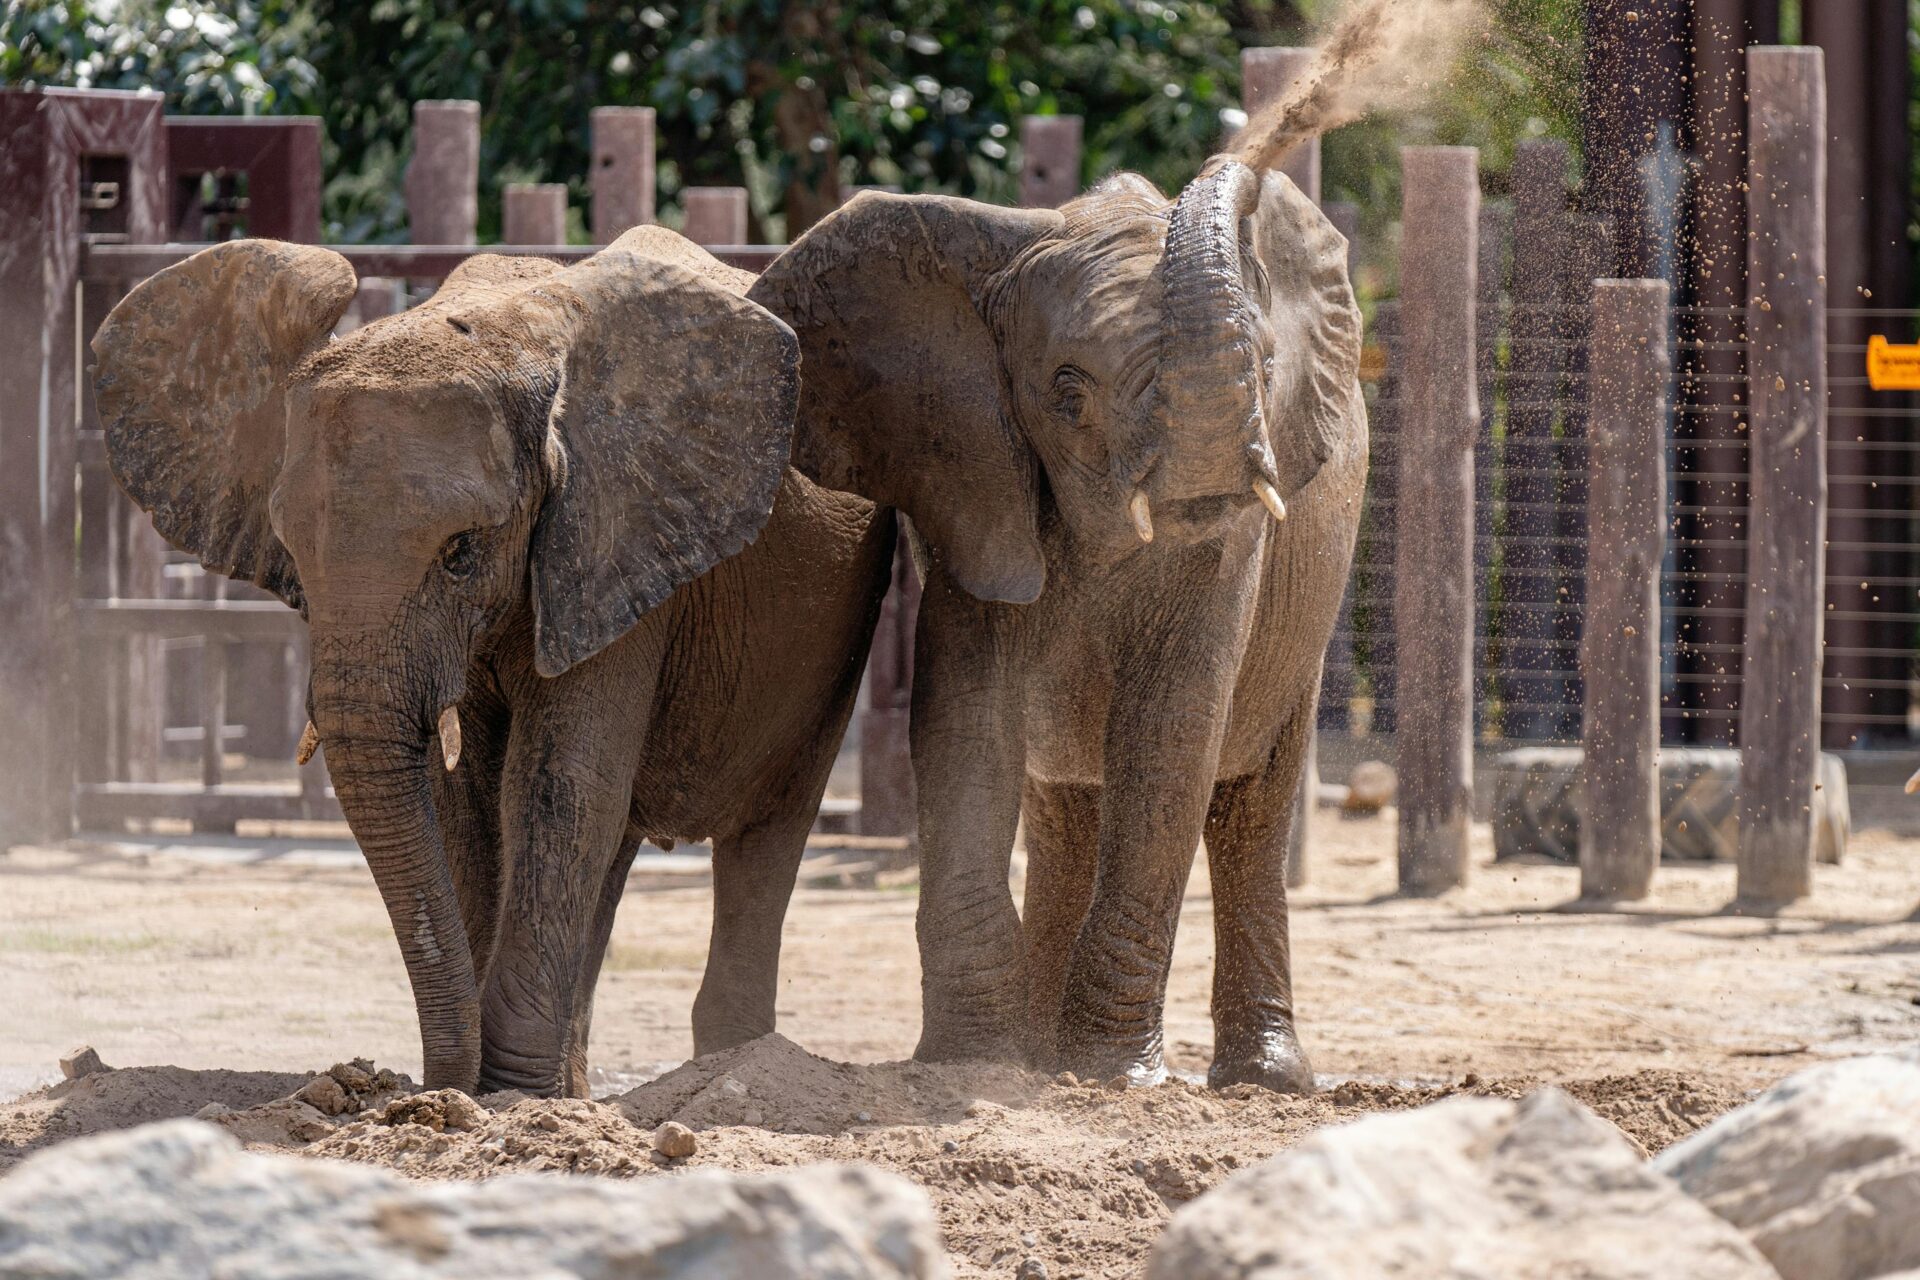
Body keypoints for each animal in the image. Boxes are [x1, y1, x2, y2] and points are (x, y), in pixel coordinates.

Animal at [91, 230, 898, 1105]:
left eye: (461, 552)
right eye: (292, 553)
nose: (420, 1090)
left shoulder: (610, 544)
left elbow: (555, 787)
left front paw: (506, 1093)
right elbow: (469, 800)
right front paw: (494, 1092)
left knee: (765, 827)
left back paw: (720, 1064)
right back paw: (576, 1090)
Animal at [748, 155, 1367, 1097]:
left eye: (1266, 367)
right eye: (1068, 392)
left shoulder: (1243, 535)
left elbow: (1172, 730)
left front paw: (1109, 1075)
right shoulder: (967, 471)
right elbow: (967, 715)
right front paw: (972, 1061)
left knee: (1252, 804)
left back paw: (1263, 1082)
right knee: (1063, 809)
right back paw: (1036, 1056)